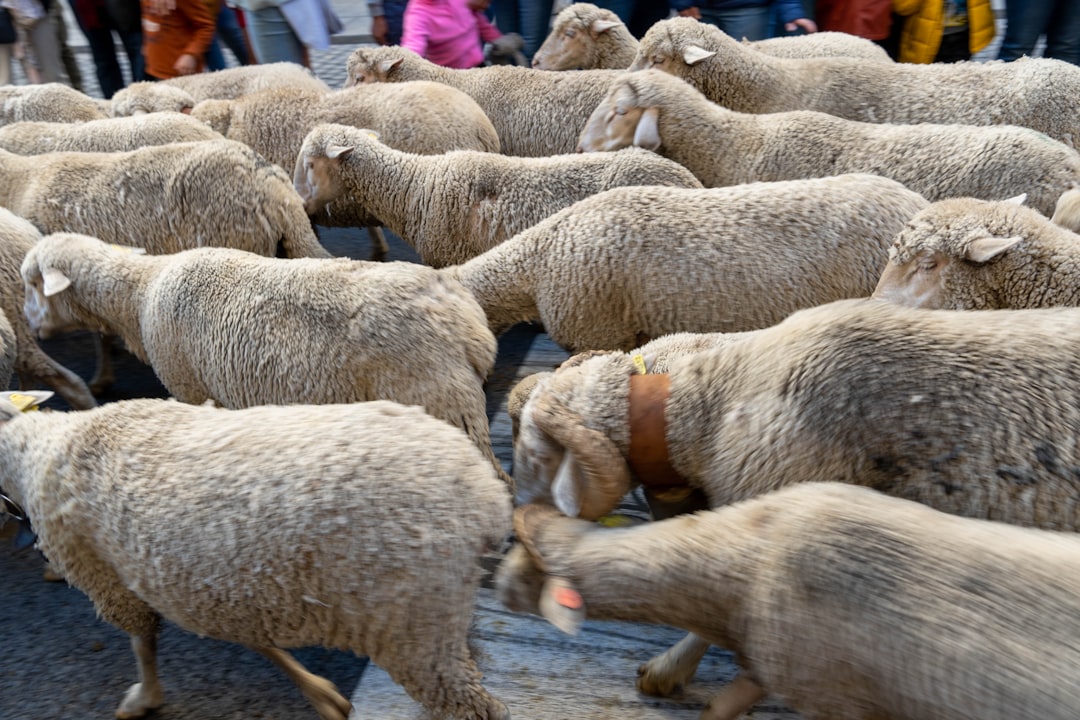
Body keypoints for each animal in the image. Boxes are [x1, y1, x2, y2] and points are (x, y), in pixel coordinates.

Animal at [0, 396, 512, 720]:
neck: (35, 449)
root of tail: (481, 493)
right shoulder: (212, 583)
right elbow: (254, 640)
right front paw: (322, 695)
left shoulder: (109, 582)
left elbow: (142, 644)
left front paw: (145, 698)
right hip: (438, 615)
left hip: (413, 633)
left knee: (474, 708)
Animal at [21, 233, 506, 478]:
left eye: (32, 283)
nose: (26, 322)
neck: (140, 292)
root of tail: (466, 321)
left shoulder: (191, 389)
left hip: (443, 400)